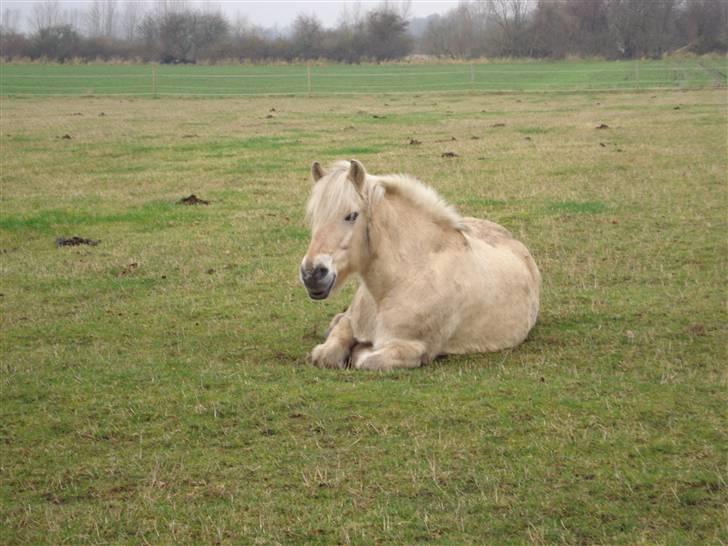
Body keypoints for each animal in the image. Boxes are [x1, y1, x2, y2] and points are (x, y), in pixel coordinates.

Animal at [298, 158, 540, 370]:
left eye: (352, 215)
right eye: (314, 217)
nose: (312, 274)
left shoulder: (414, 348)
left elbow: (365, 359)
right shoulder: (349, 323)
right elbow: (326, 353)